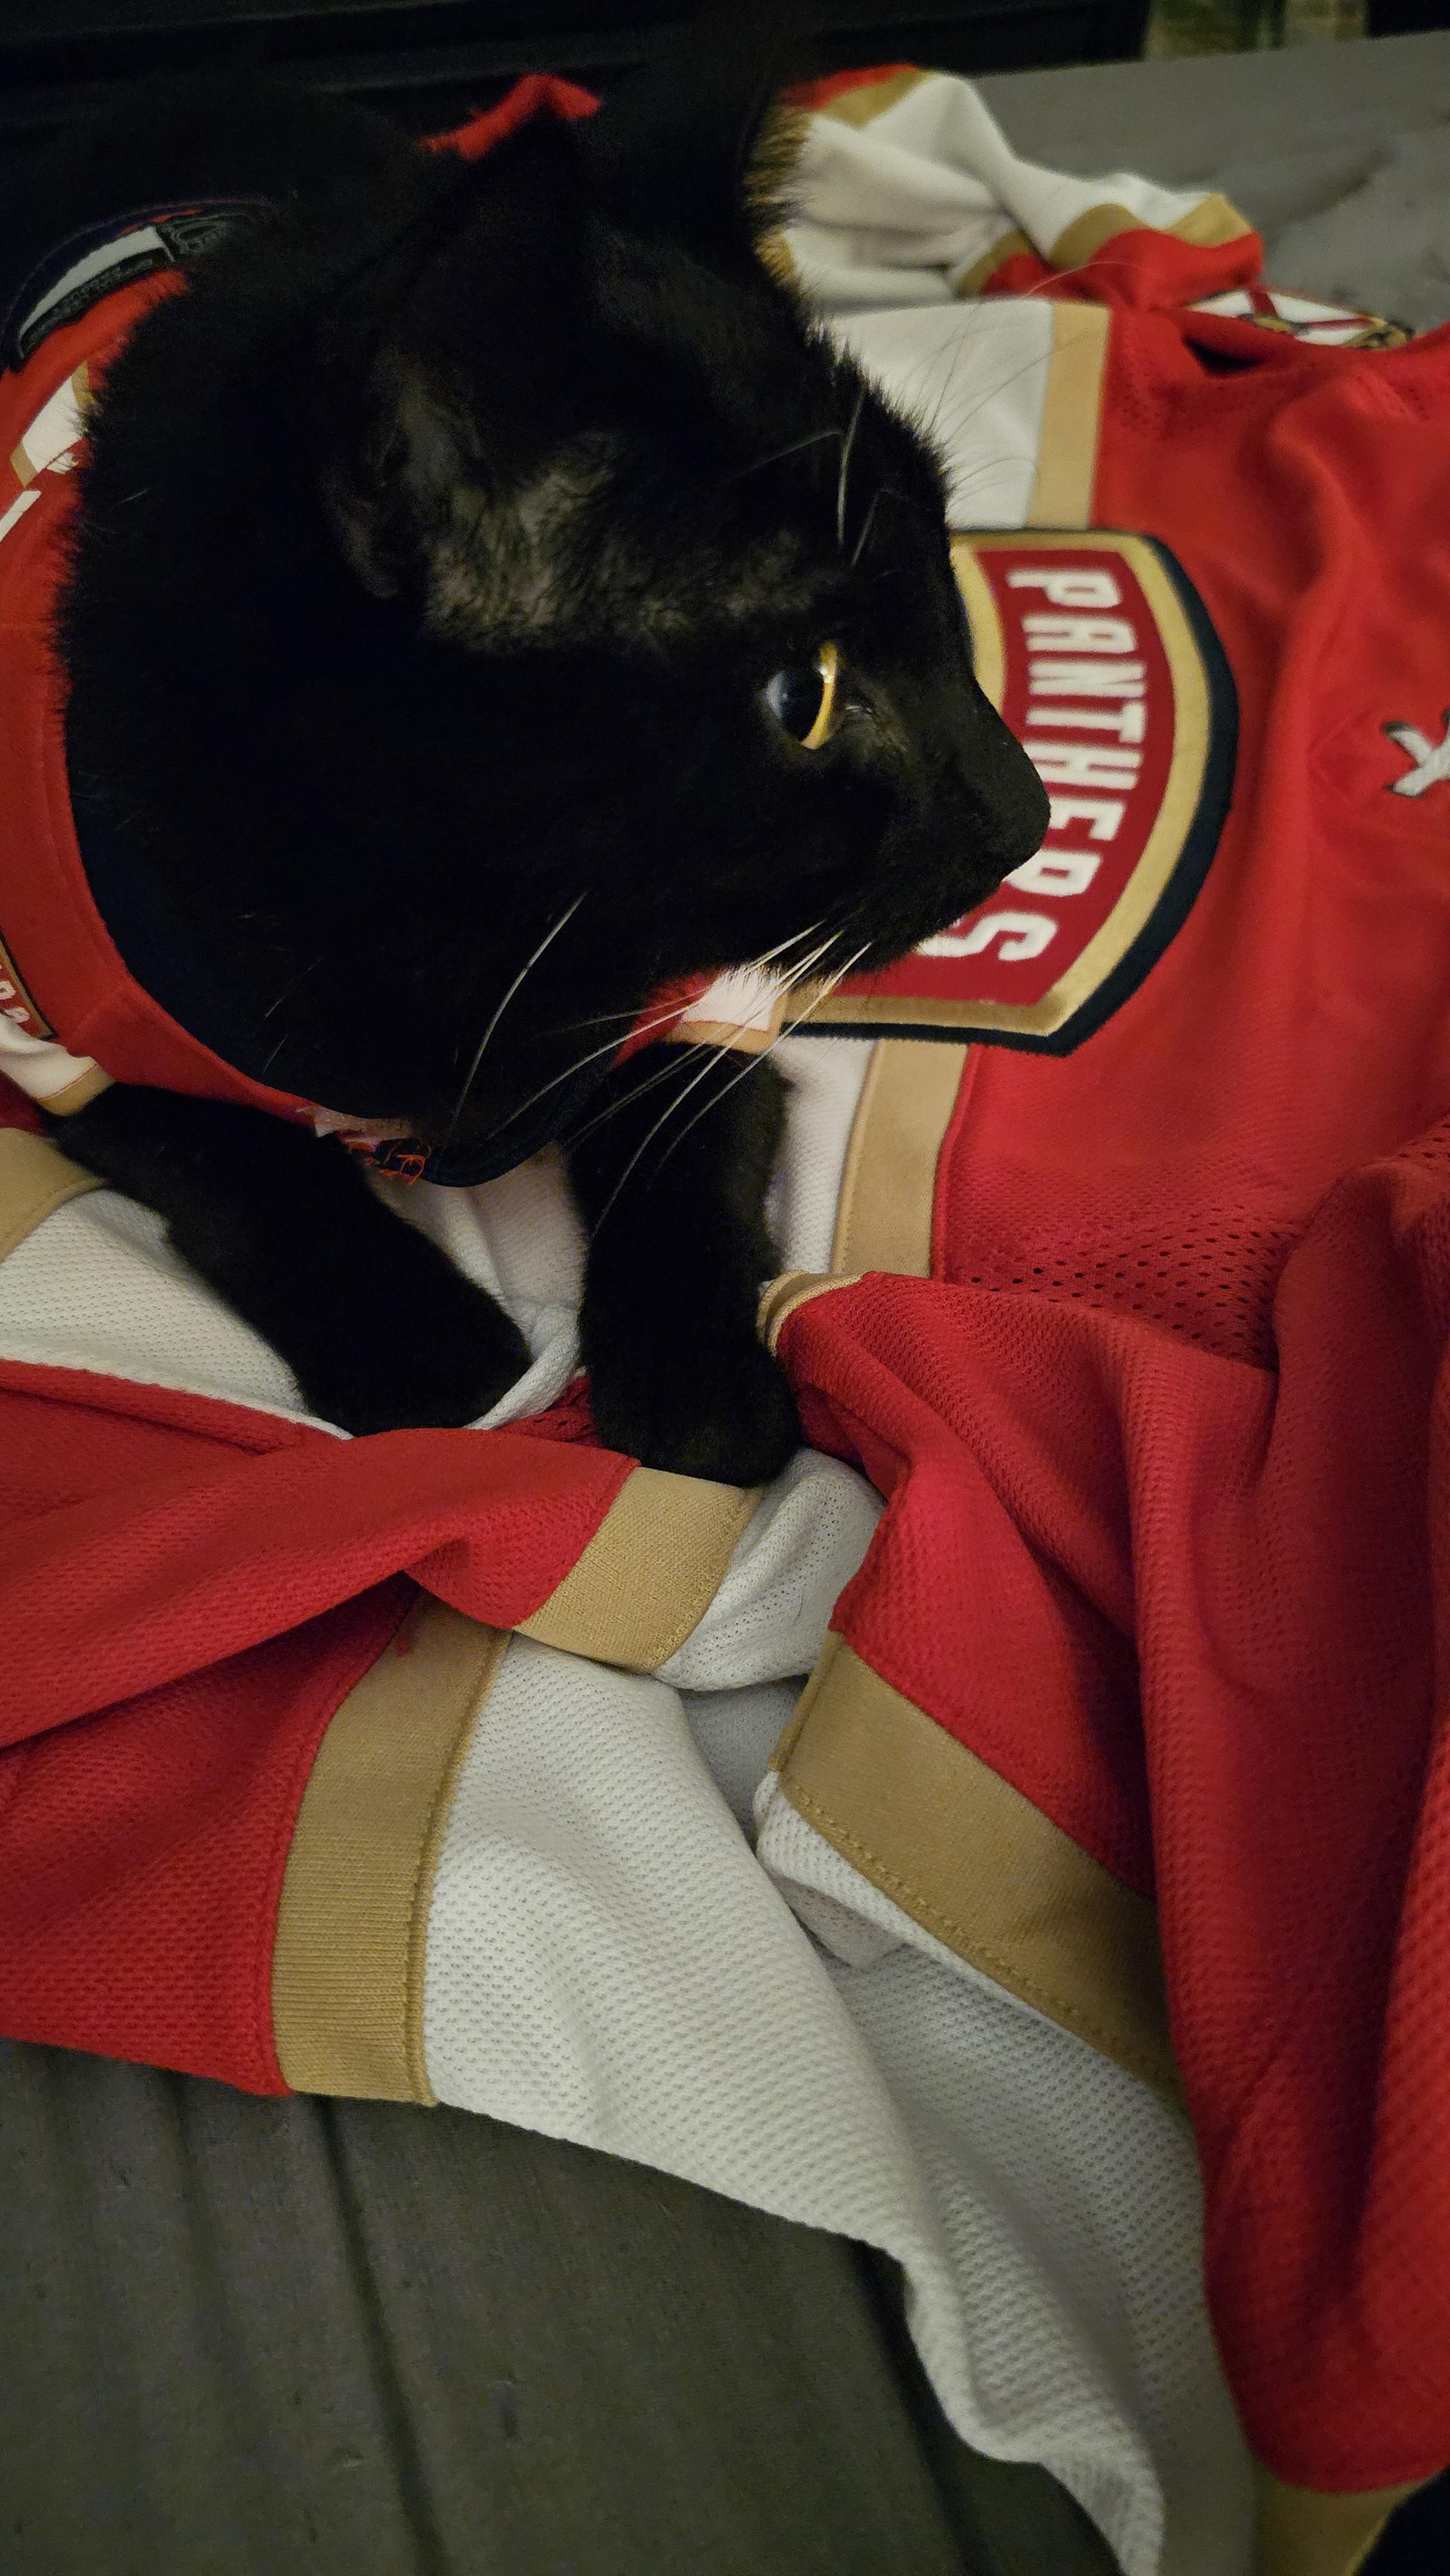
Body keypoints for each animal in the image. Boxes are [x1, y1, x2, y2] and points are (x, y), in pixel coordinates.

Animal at [0, 9, 1047, 1483]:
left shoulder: (710, 1000)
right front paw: (425, 1341)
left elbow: (690, 1135)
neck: (471, 941)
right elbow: (233, 1156)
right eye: (805, 695)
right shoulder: (52, 1013)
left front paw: (696, 1375)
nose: (1028, 811)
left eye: (944, 573)